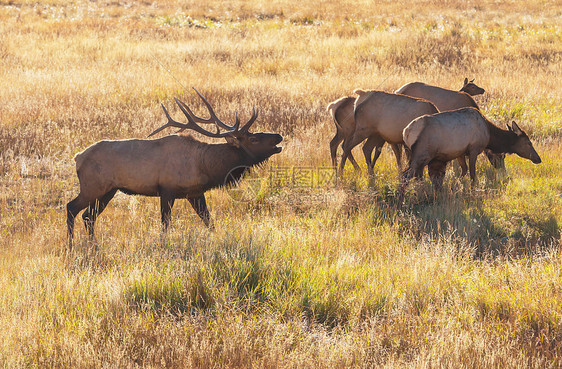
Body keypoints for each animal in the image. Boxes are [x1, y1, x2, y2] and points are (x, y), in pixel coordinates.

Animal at [66, 89, 282, 250]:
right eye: (253, 139)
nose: (278, 136)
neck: (205, 166)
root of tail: (78, 157)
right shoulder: (167, 190)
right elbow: (165, 225)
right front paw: (163, 246)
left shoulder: (195, 193)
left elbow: (209, 222)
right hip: (92, 187)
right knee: (72, 208)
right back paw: (70, 246)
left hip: (108, 190)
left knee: (88, 216)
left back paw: (94, 247)